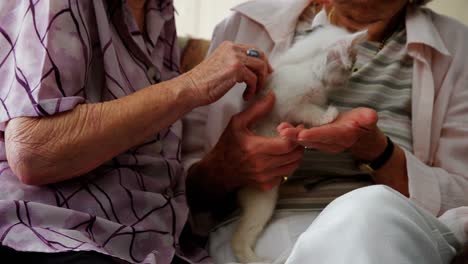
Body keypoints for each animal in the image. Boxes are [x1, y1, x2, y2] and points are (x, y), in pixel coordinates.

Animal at [230, 24, 366, 262]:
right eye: (349, 67)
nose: (350, 78)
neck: (308, 69)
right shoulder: (289, 105)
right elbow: (310, 111)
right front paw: (328, 116)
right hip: (261, 197)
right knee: (238, 238)